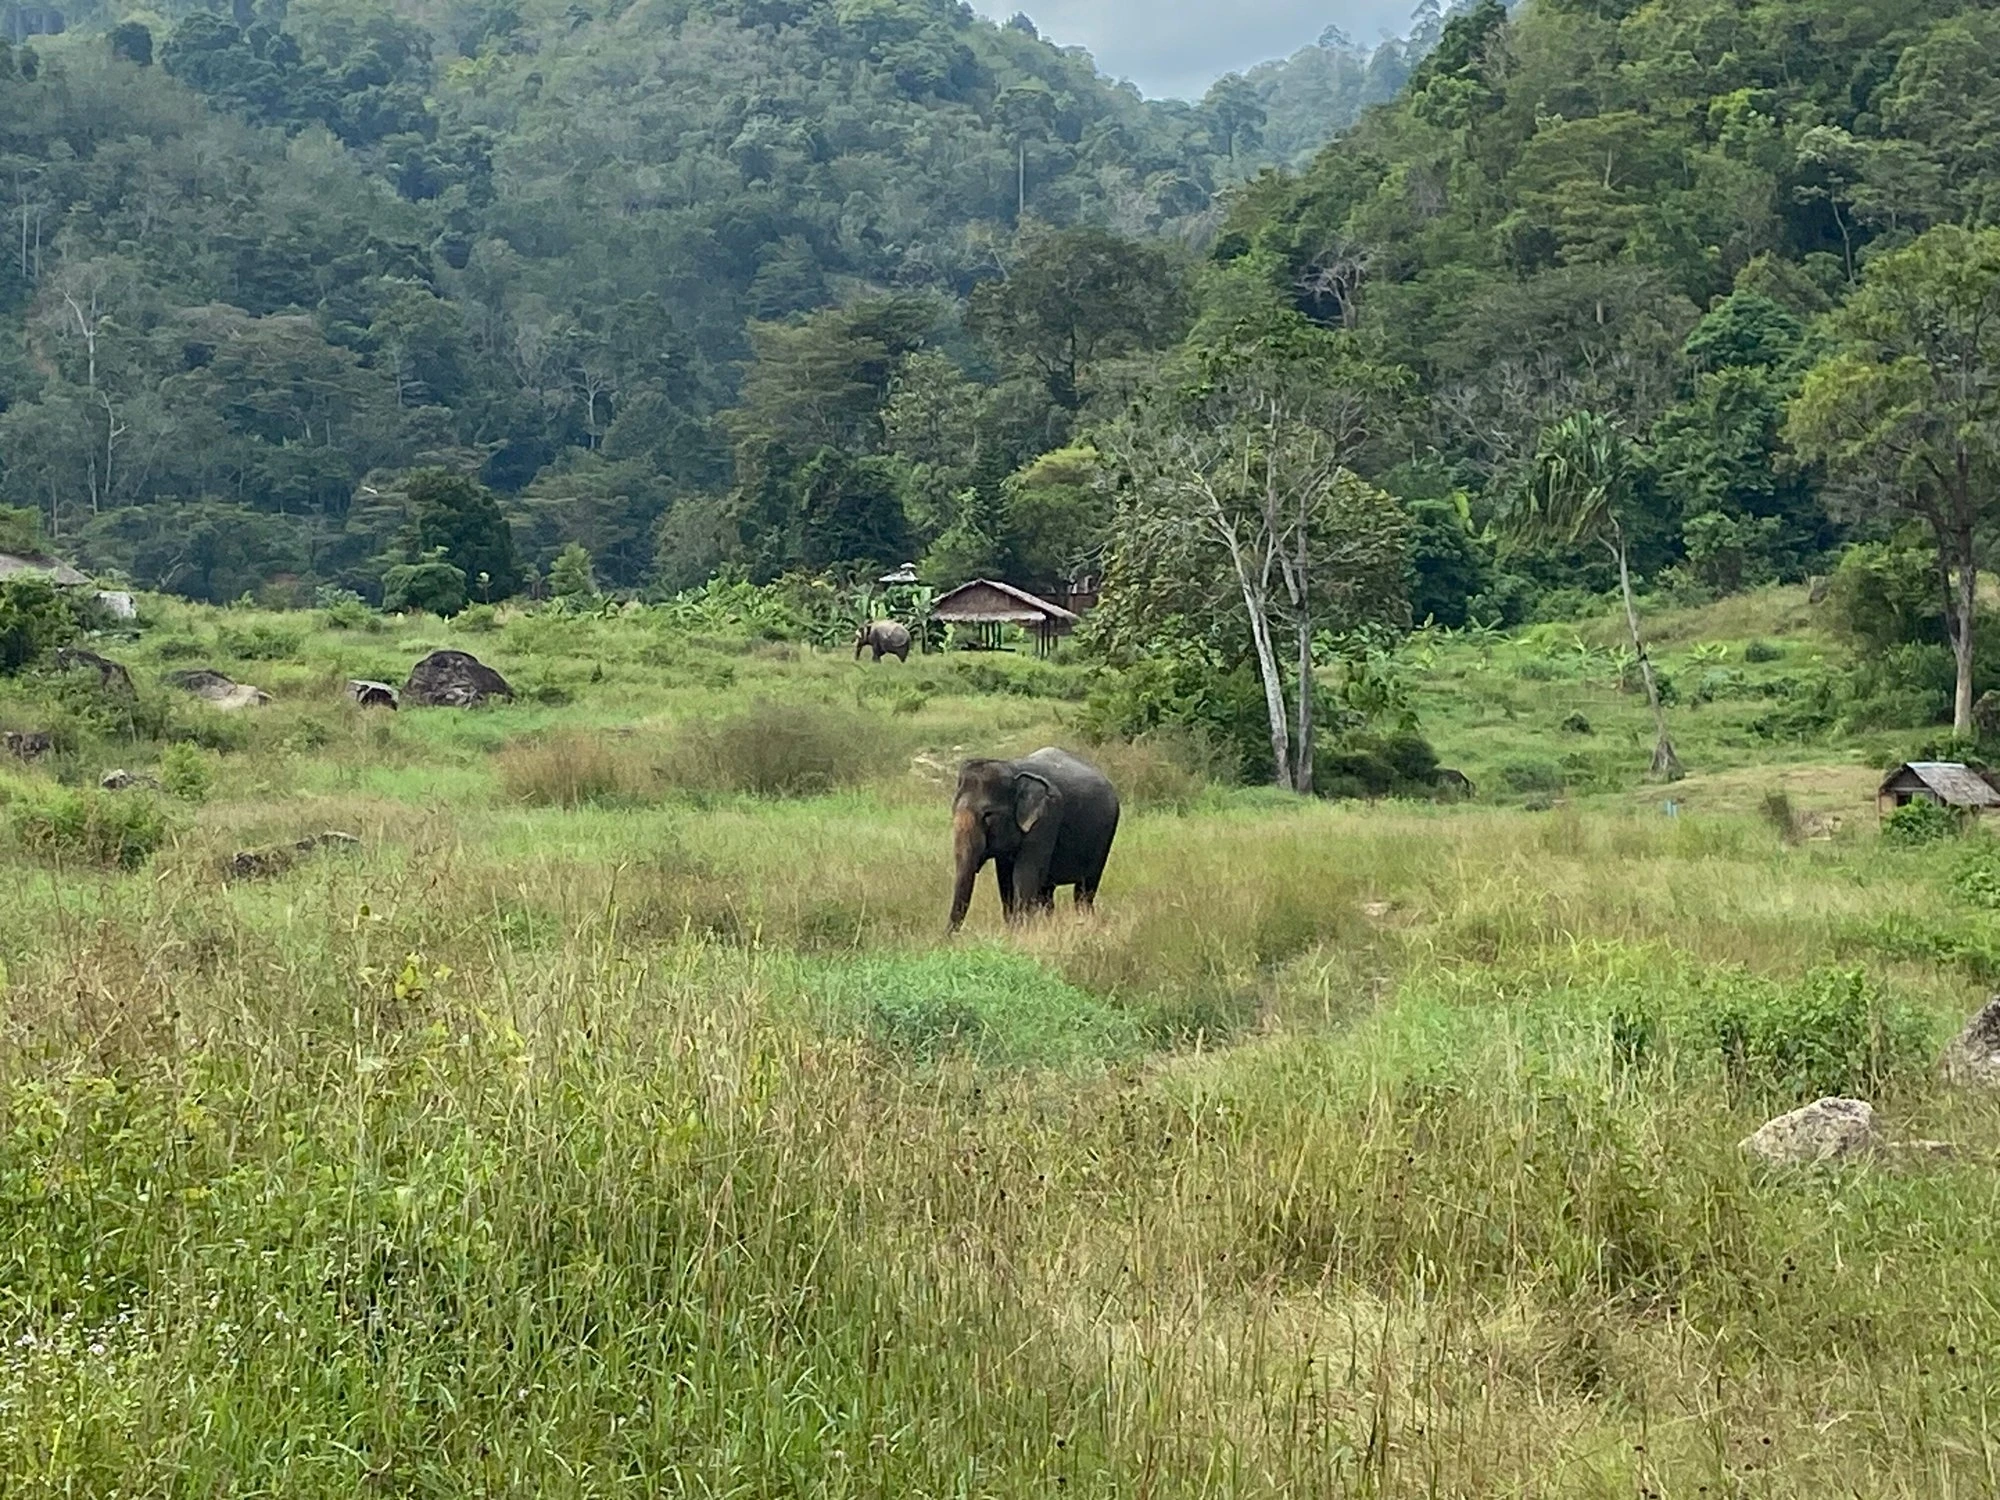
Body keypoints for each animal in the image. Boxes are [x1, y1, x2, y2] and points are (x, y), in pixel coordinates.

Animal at [948, 748, 1120, 932]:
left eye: (988, 815)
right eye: (953, 809)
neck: (1012, 769)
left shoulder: (1047, 817)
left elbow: (1024, 876)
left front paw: (1020, 931)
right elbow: (1006, 880)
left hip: (1104, 839)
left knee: (1084, 890)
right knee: (1047, 893)